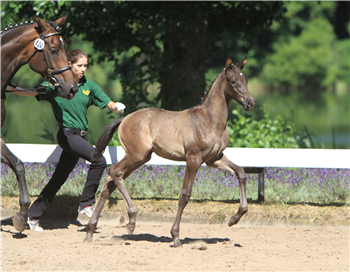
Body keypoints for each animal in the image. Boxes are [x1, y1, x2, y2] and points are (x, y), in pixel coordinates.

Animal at [84, 56, 254, 246]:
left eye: (246, 80)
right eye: (233, 81)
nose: (250, 102)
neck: (209, 121)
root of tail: (125, 118)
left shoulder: (214, 159)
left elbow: (241, 172)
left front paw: (234, 218)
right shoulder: (193, 159)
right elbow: (185, 195)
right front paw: (175, 236)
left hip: (141, 158)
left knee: (109, 183)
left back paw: (90, 232)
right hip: (136, 155)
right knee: (114, 172)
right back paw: (131, 221)